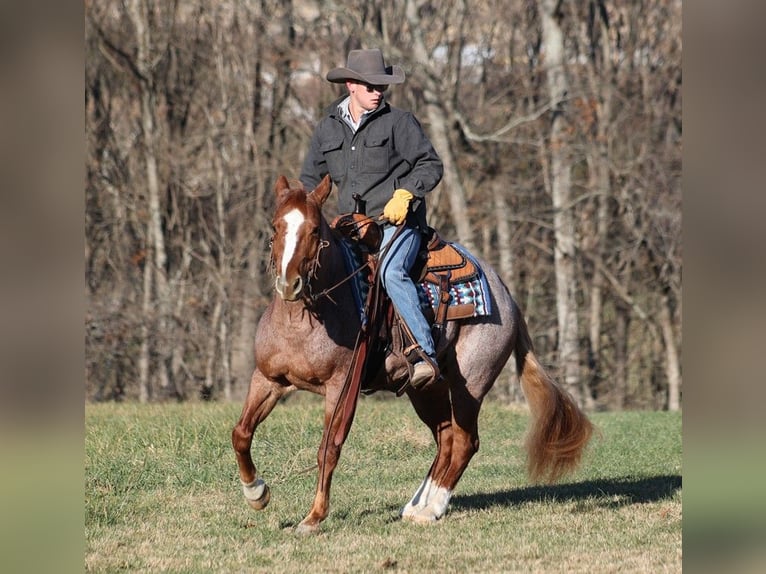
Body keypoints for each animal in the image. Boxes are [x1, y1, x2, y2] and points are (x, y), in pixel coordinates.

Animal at [231, 176, 596, 536]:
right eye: (276, 226)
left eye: (314, 230)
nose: (289, 284)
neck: (303, 319)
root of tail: (508, 299)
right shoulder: (267, 380)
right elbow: (241, 434)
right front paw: (256, 493)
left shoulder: (341, 387)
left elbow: (328, 447)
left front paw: (313, 517)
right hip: (427, 390)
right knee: (446, 438)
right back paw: (417, 505)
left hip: (471, 384)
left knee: (465, 442)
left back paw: (431, 510)